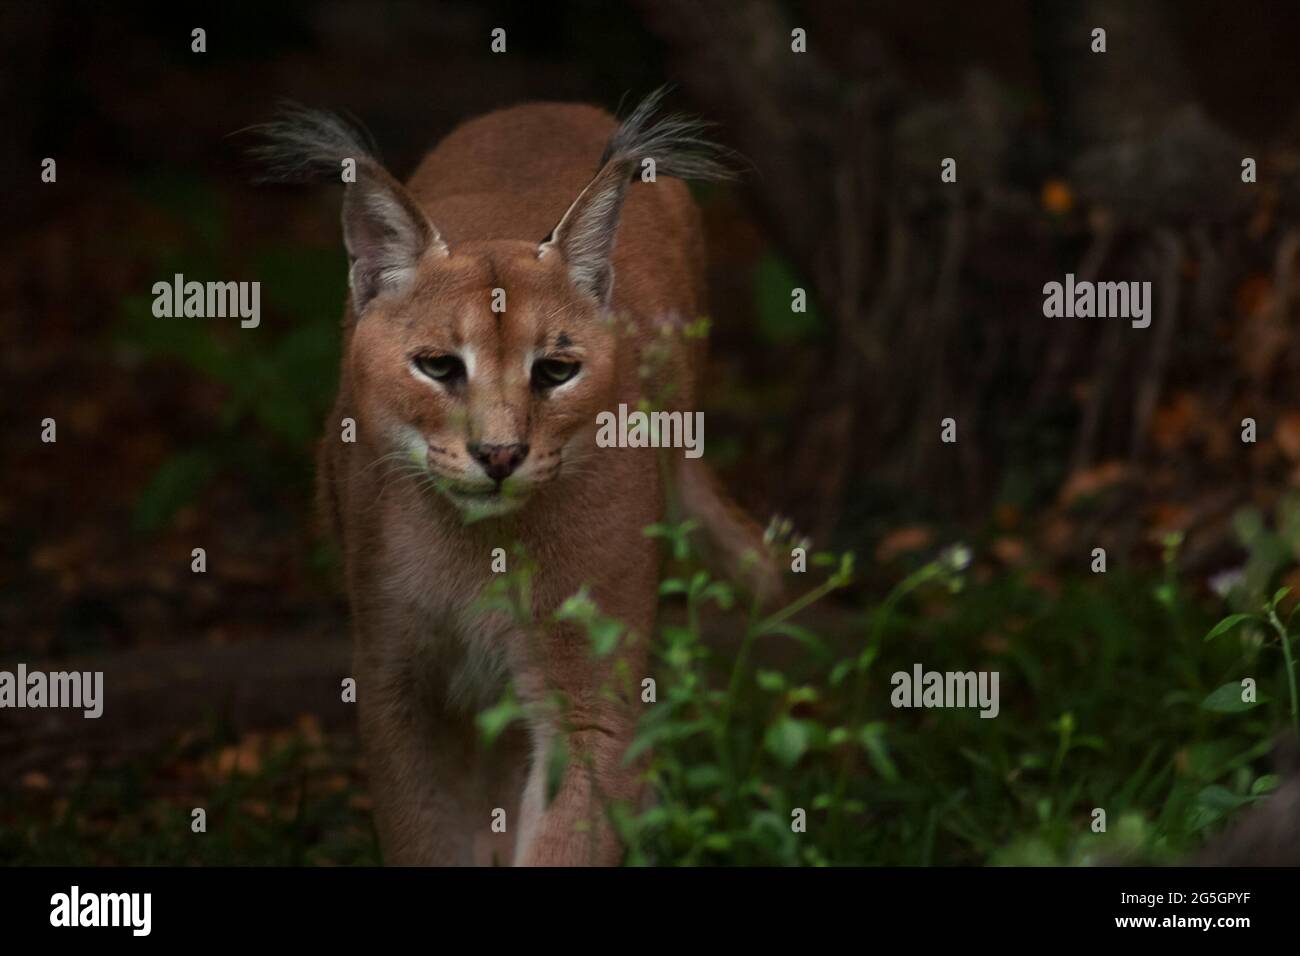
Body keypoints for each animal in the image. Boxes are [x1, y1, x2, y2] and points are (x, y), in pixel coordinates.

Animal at [258, 91, 774, 868]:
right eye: (438, 365)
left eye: (556, 370)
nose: (499, 454)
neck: (480, 554)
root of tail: (548, 103)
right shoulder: (396, 684)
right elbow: (422, 834)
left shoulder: (588, 697)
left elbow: (568, 830)